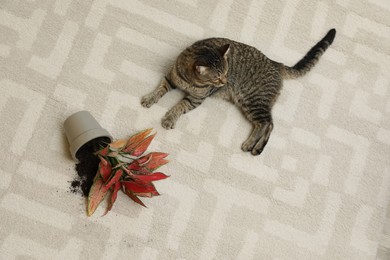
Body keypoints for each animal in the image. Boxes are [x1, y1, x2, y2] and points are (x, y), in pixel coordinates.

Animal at [142, 28, 336, 155]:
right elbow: (159, 89)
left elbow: (179, 106)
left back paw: (254, 146)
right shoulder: (170, 78)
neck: (190, 82)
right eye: (217, 78)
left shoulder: (195, 99)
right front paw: (149, 99)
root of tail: (275, 63)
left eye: (226, 72)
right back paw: (252, 144)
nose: (225, 82)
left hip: (254, 102)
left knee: (269, 124)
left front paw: (169, 119)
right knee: (262, 124)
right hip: (249, 104)